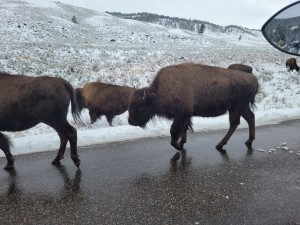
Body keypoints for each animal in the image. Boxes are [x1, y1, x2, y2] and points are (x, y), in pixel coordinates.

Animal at [127, 62, 258, 151]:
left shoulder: (181, 114)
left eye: (139, 105)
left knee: (235, 123)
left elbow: (174, 130)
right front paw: (181, 143)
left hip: (236, 108)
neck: (160, 92)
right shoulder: (187, 115)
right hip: (241, 108)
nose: (130, 121)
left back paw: (220, 145)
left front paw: (177, 146)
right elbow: (185, 128)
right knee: (250, 118)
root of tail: (254, 78)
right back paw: (248, 141)